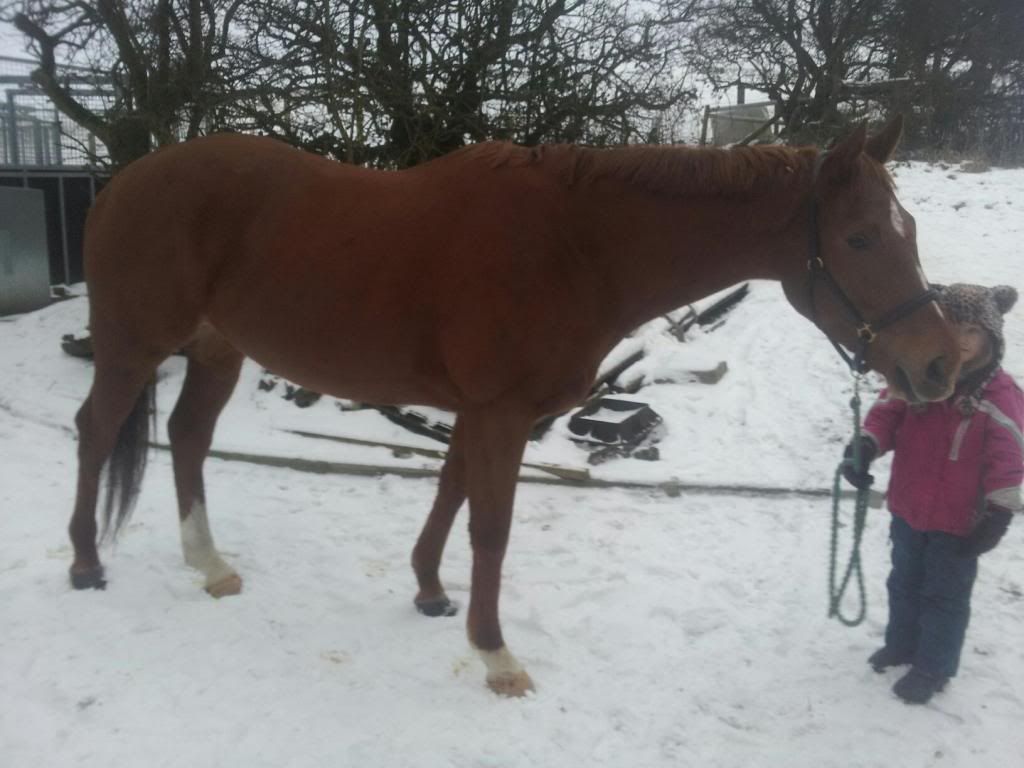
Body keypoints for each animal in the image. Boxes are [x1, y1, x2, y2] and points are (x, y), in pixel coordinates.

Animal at [68, 115, 958, 696]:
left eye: (910, 230)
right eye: (860, 239)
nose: (940, 365)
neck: (578, 247)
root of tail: (122, 183)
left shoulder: (479, 410)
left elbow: (450, 492)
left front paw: (430, 592)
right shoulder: (501, 412)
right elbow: (489, 528)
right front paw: (495, 655)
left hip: (217, 350)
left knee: (186, 436)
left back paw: (209, 564)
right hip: (133, 346)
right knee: (96, 431)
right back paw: (85, 564)